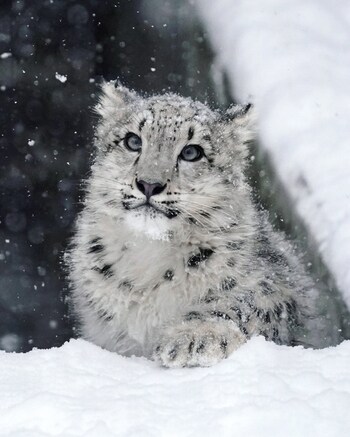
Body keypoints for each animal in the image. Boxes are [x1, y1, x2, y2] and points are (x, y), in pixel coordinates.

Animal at [65, 80, 320, 366]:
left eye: (191, 152)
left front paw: (194, 338)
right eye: (133, 141)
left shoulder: (277, 286)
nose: (149, 184)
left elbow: (247, 303)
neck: (149, 257)